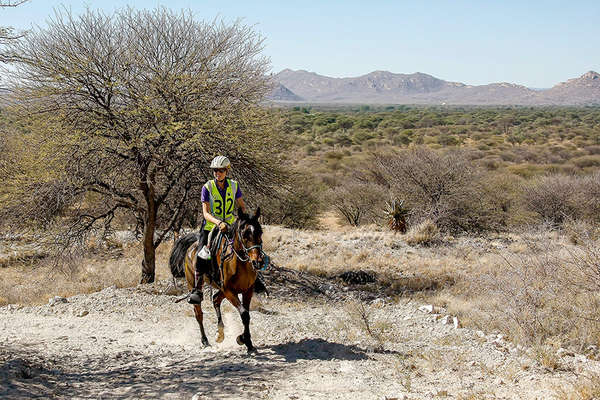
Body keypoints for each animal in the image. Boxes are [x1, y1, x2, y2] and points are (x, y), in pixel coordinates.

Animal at [168, 208, 264, 352]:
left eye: (260, 232)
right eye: (245, 234)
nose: (258, 262)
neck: (239, 262)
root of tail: (192, 246)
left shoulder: (247, 290)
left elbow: (246, 314)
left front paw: (247, 342)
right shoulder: (229, 290)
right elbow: (244, 313)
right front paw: (242, 339)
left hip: (221, 288)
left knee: (215, 299)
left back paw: (220, 333)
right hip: (194, 285)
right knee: (199, 313)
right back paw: (205, 340)